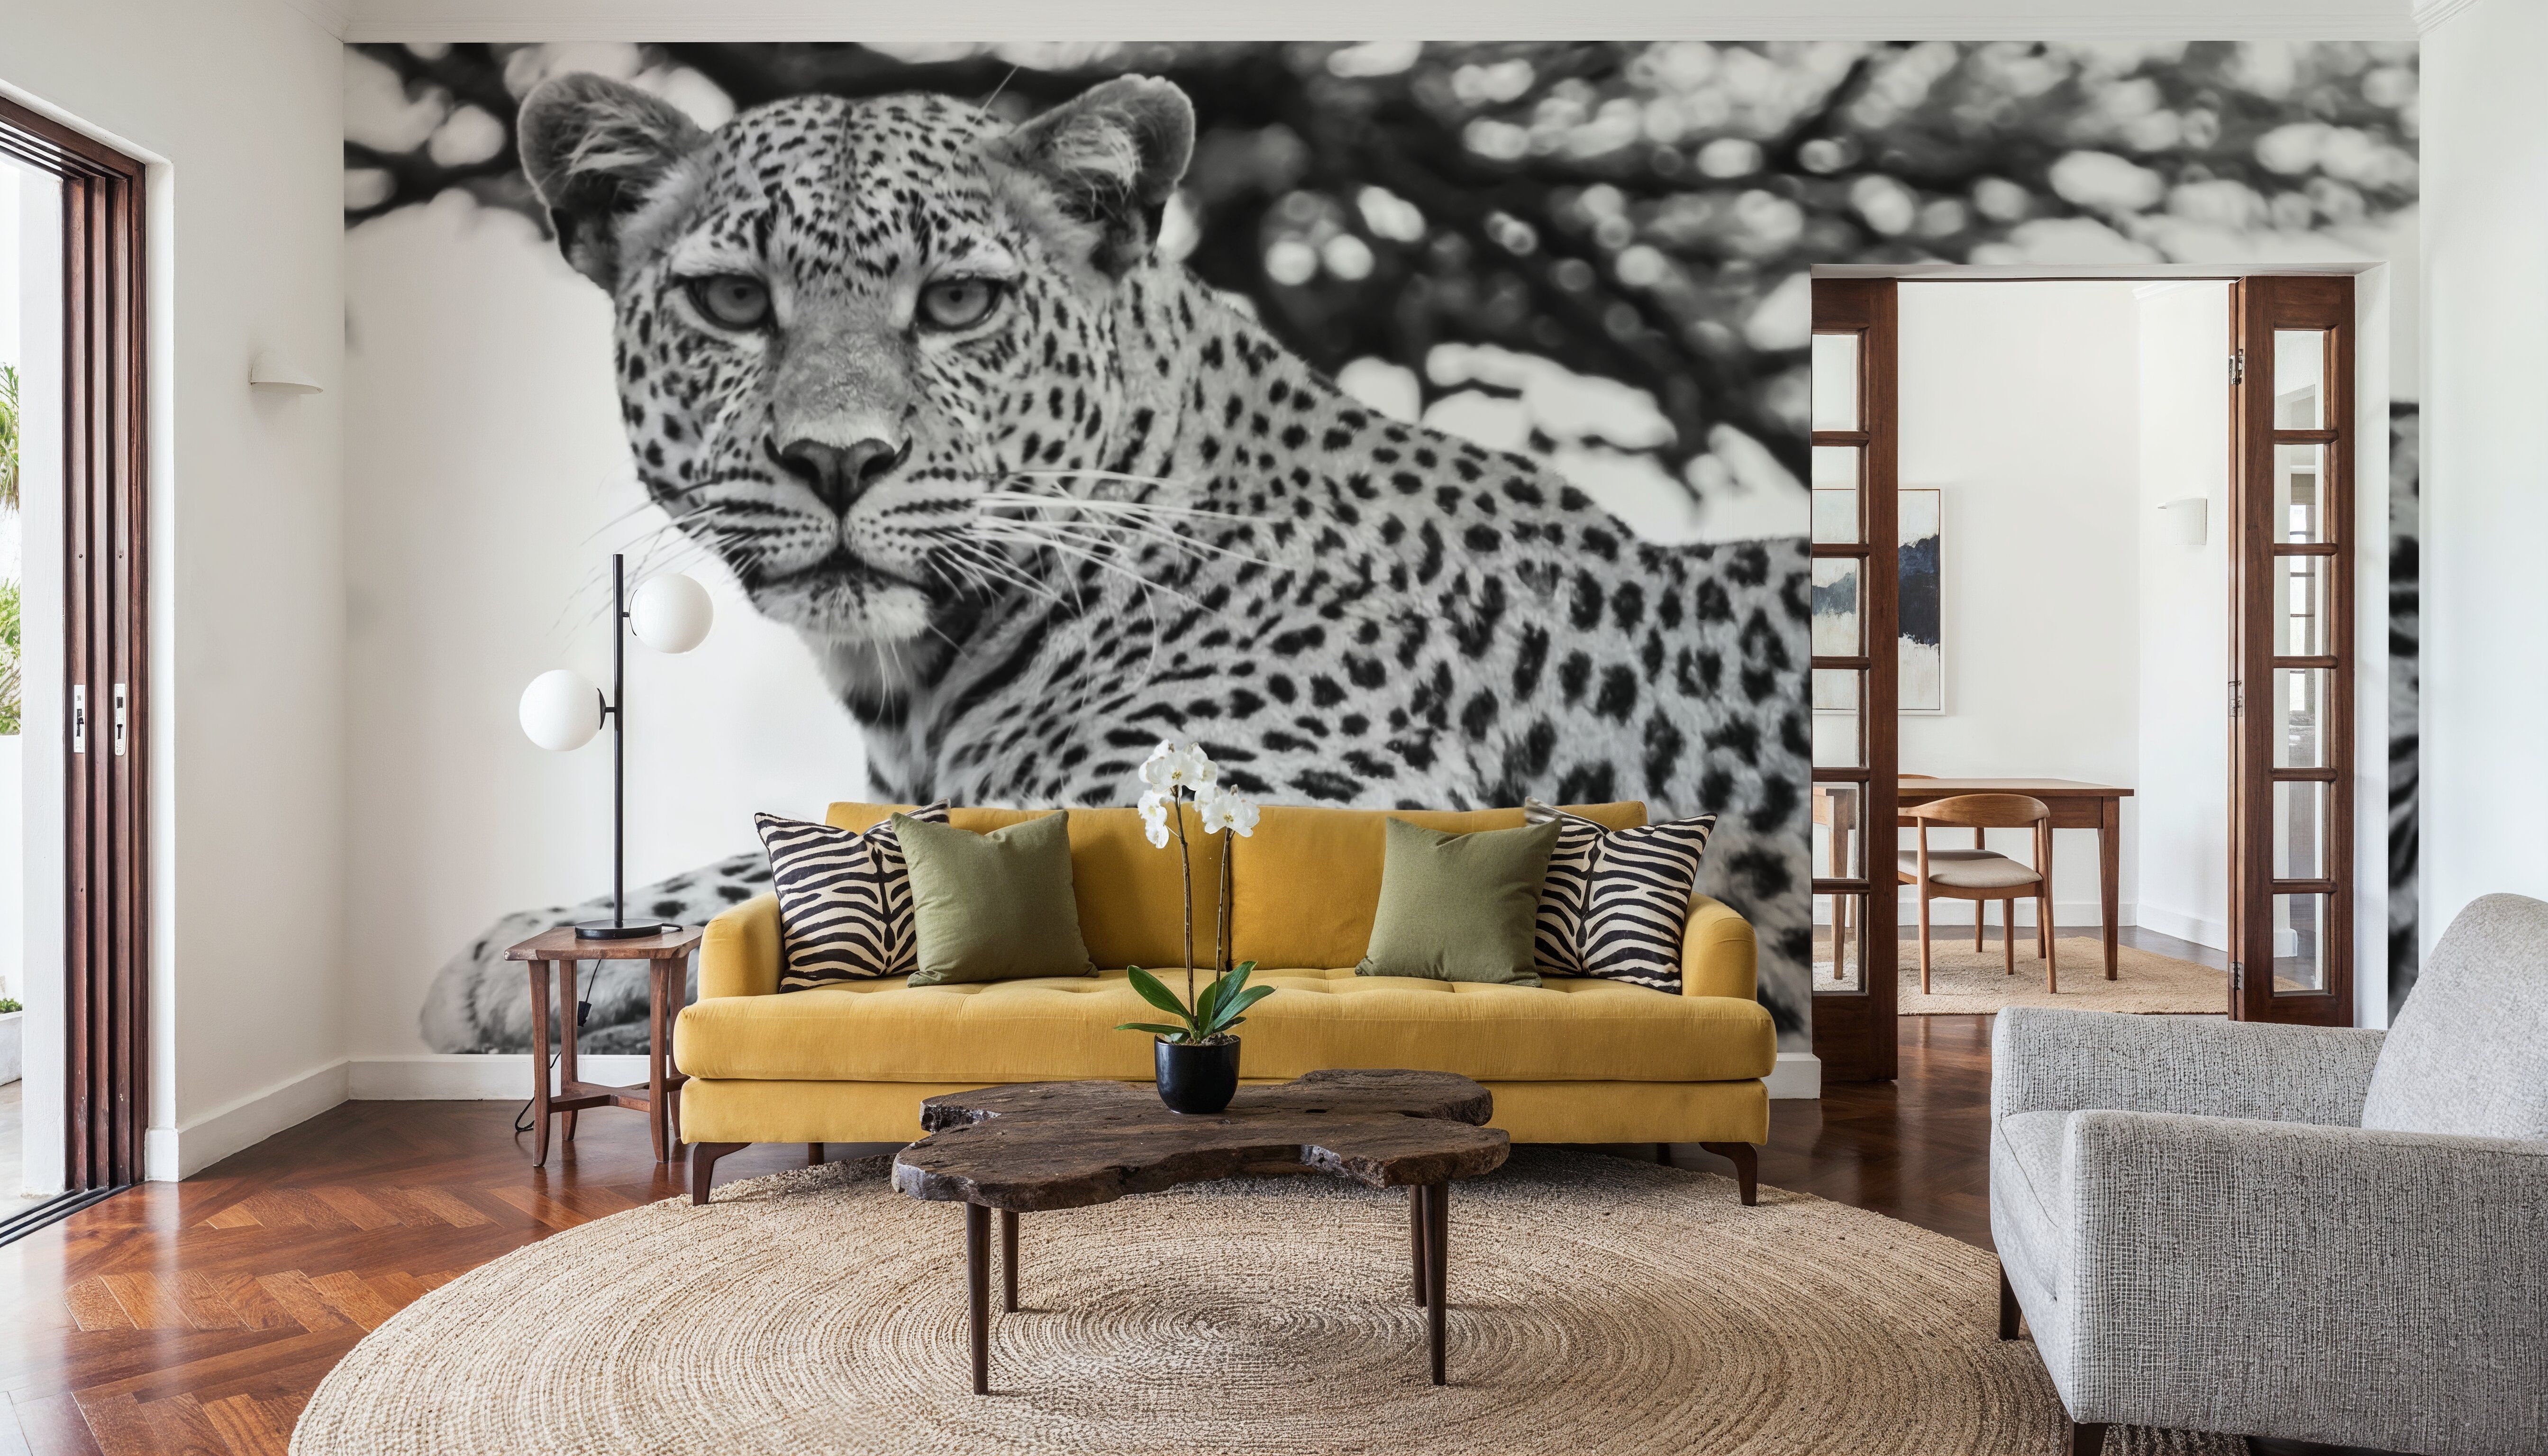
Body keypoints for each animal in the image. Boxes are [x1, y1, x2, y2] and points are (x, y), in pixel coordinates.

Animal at [418, 72, 1812, 1056]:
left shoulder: (1277, 798)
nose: (839, 458)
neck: (915, 680)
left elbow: (873, 858)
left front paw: (522, 944)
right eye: (734, 302)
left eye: (960, 303)